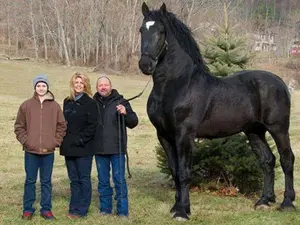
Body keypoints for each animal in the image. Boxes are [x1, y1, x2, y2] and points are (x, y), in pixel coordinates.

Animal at [138, 1, 296, 220]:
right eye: (141, 30)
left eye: (161, 31)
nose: (145, 64)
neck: (177, 84)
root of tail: (280, 82)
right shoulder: (164, 136)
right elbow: (175, 171)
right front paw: (176, 206)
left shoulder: (184, 135)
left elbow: (184, 172)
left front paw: (183, 211)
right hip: (254, 131)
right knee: (267, 161)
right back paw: (264, 201)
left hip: (278, 128)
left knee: (287, 159)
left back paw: (287, 202)